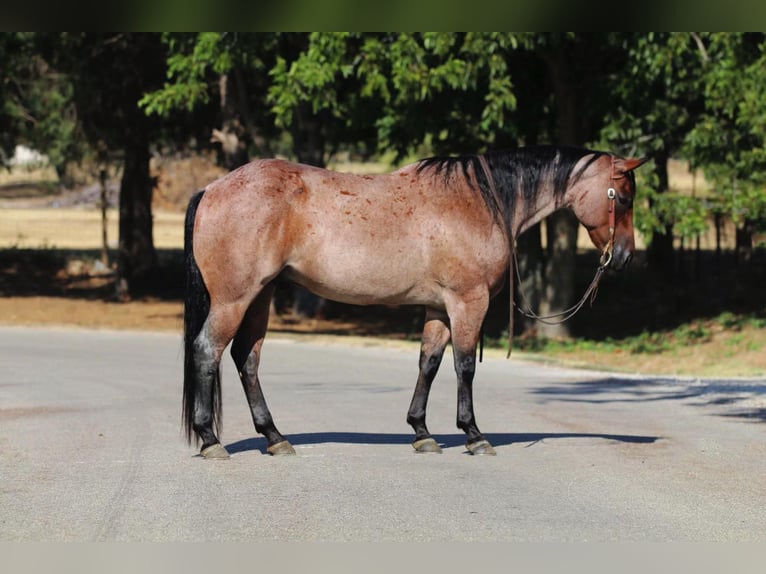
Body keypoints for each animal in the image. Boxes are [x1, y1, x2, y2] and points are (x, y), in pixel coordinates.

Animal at [184, 146, 648, 462]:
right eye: (624, 198)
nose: (625, 257)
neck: (480, 201)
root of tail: (212, 188)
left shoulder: (439, 308)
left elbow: (429, 363)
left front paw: (421, 432)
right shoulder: (468, 302)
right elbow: (464, 366)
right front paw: (474, 434)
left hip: (259, 297)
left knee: (246, 359)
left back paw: (275, 438)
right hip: (235, 299)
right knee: (209, 351)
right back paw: (210, 440)